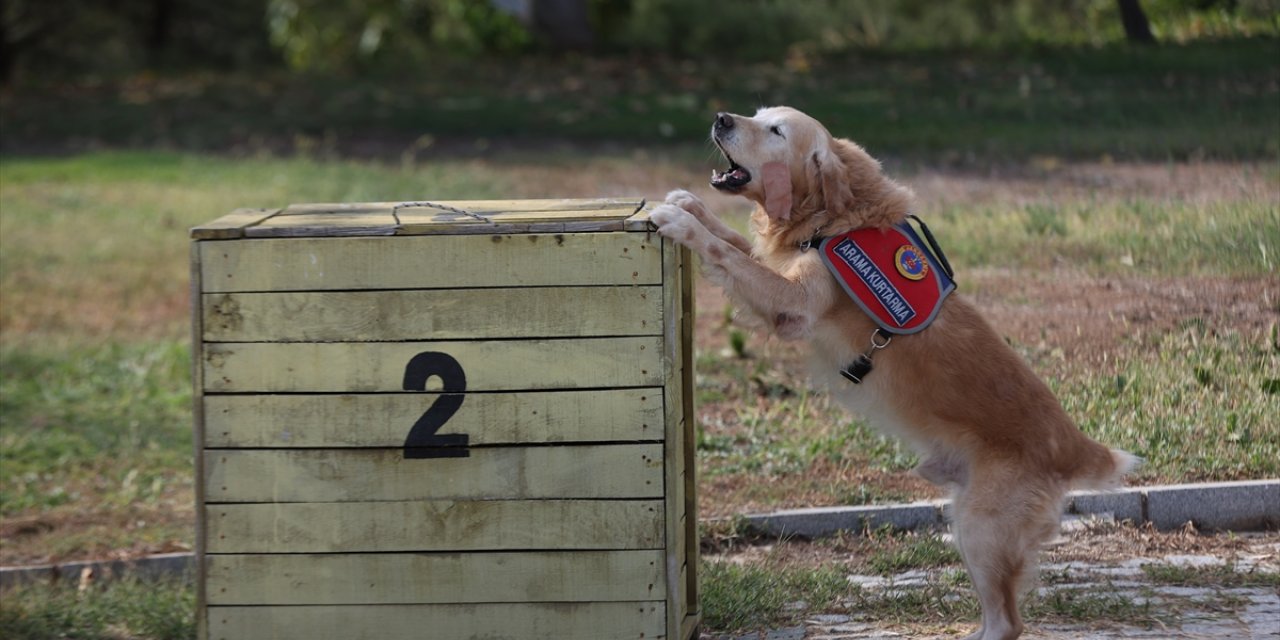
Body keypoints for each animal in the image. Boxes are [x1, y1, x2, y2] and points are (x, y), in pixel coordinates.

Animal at [655, 104, 1136, 640]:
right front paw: (691, 205)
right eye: (756, 114)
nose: (721, 118)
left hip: (982, 530)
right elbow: (734, 242)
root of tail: (1075, 446)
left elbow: (727, 253)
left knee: (1007, 622)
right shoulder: (777, 267)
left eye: (776, 130)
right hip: (965, 522)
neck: (830, 219)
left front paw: (681, 221)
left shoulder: (793, 303)